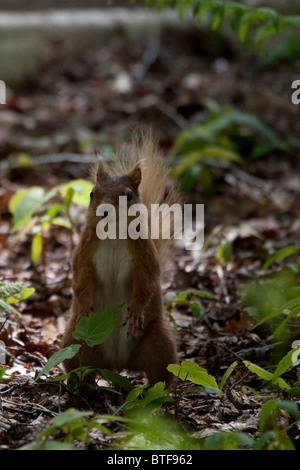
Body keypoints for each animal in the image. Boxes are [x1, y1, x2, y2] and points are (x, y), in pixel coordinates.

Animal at [61, 131, 178, 390]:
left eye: (129, 196)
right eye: (92, 193)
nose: (105, 211)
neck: (112, 233)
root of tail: (117, 364)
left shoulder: (144, 254)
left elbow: (147, 282)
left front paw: (134, 311)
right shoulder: (84, 252)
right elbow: (80, 279)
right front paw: (85, 305)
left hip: (159, 340)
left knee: (161, 374)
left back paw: (154, 390)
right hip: (75, 339)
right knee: (80, 367)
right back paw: (84, 388)